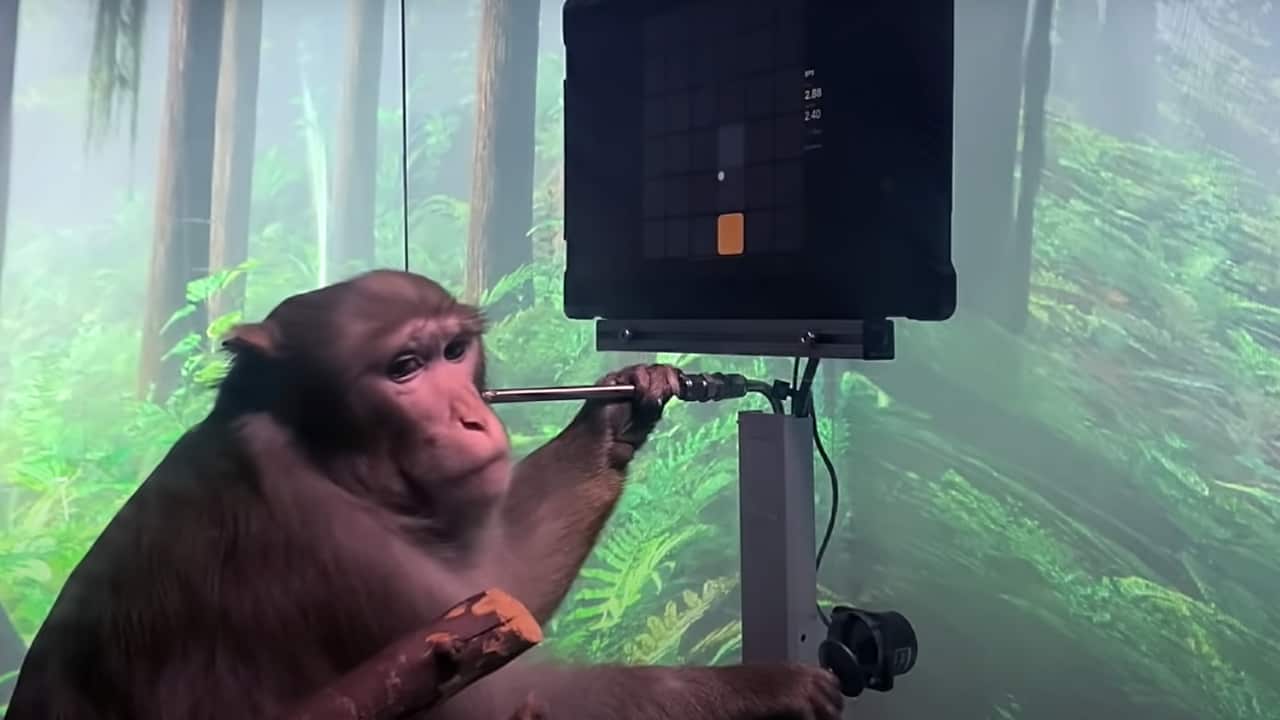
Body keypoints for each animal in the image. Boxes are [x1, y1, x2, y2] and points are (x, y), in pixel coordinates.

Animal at [4, 270, 843, 720]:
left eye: (453, 350)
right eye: (405, 368)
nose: (473, 415)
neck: (323, 452)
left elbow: (503, 585)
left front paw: (618, 409)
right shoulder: (317, 539)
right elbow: (500, 698)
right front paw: (767, 687)